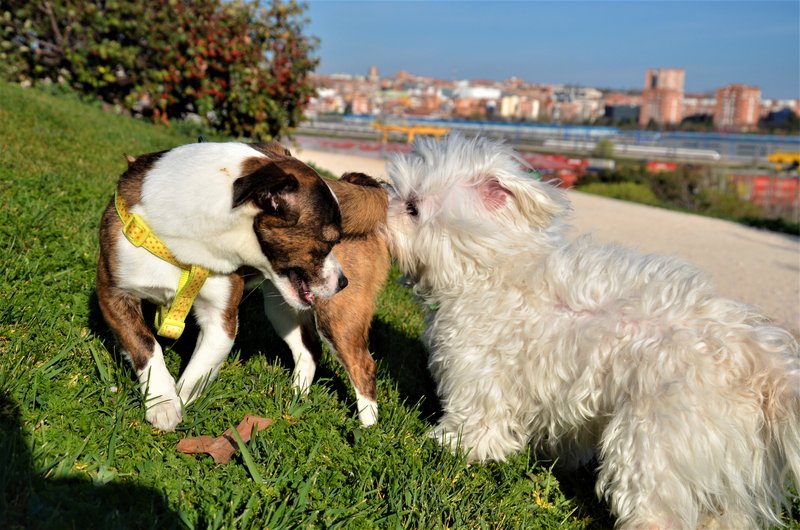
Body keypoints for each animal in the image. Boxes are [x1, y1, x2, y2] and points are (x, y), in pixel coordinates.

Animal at [95, 140, 348, 428]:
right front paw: (163, 401)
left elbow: (198, 371)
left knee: (309, 348)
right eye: (329, 241)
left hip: (283, 308)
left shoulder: (221, 321)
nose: (343, 282)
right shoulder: (113, 293)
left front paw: (178, 400)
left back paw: (298, 394)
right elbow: (145, 345)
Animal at [384, 135, 796, 528]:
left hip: (651, 442)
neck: (490, 270)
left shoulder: (479, 374)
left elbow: (477, 426)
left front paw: (449, 445)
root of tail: (760, 358)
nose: (381, 208)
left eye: (413, 207)